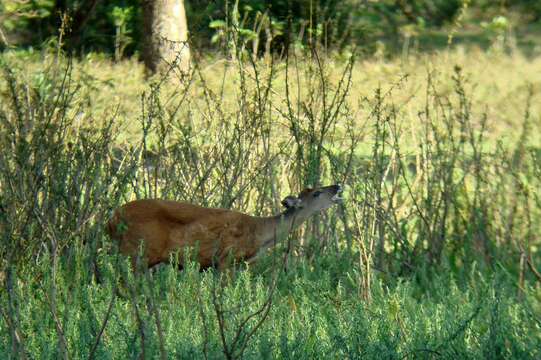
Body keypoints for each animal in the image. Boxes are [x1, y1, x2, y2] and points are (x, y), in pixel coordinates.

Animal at [106, 184, 342, 268]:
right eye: (317, 193)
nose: (337, 185)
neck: (259, 233)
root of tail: (111, 220)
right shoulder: (226, 257)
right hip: (136, 252)